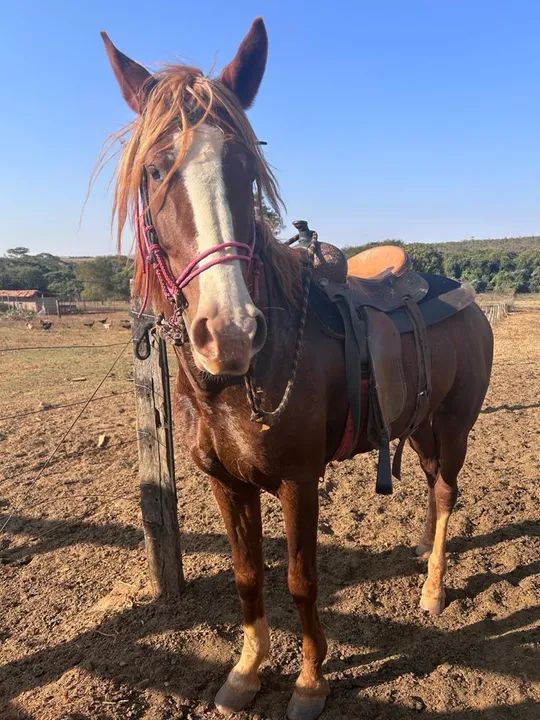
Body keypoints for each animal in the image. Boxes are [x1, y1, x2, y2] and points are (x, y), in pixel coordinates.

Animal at [101, 18, 493, 720]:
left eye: (246, 170)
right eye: (154, 170)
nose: (229, 331)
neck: (237, 384)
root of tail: (464, 295)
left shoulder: (299, 480)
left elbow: (302, 580)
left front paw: (311, 682)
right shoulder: (227, 484)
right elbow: (248, 574)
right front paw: (246, 671)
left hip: (455, 426)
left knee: (447, 493)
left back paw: (432, 589)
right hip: (420, 424)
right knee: (430, 489)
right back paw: (424, 557)